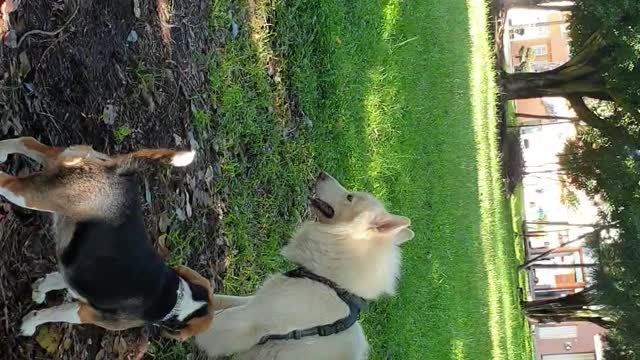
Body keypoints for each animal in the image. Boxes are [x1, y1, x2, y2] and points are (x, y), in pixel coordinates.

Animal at [0, 137, 215, 340]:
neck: (181, 300)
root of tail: (117, 170)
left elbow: (53, 281)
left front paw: (39, 291)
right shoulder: (86, 314)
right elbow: (53, 314)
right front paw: (29, 325)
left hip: (56, 161)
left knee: (25, 141)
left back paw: (3, 151)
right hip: (31, 196)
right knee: (6, 181)